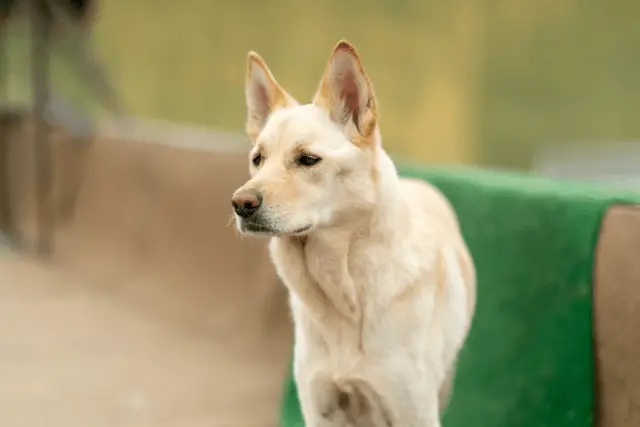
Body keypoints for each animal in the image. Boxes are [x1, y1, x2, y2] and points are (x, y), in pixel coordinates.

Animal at [230, 41, 476, 427]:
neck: (341, 291)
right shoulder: (319, 407)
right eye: (258, 159)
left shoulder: (414, 411)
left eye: (307, 159)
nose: (240, 204)